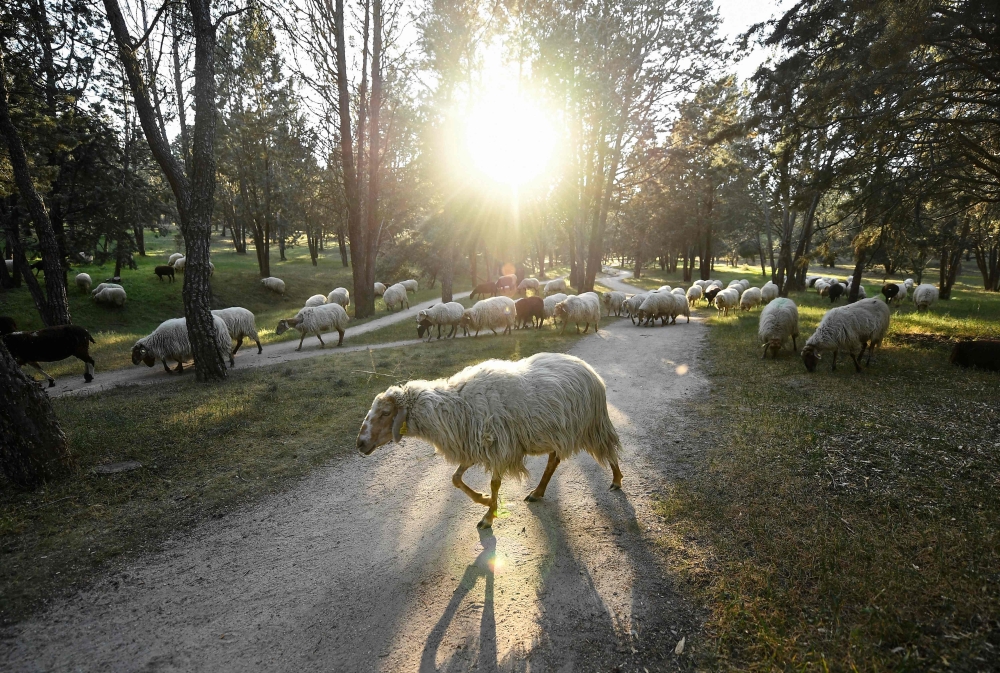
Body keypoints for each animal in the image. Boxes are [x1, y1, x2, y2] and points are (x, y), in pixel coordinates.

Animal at [356, 352, 620, 532]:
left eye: (385, 413)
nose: (360, 443)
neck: (454, 407)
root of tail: (586, 366)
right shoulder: (471, 445)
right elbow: (455, 479)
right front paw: (483, 500)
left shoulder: (499, 446)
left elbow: (494, 483)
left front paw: (489, 515)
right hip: (559, 431)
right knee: (553, 460)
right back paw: (537, 492)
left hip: (593, 424)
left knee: (609, 450)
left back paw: (617, 480)